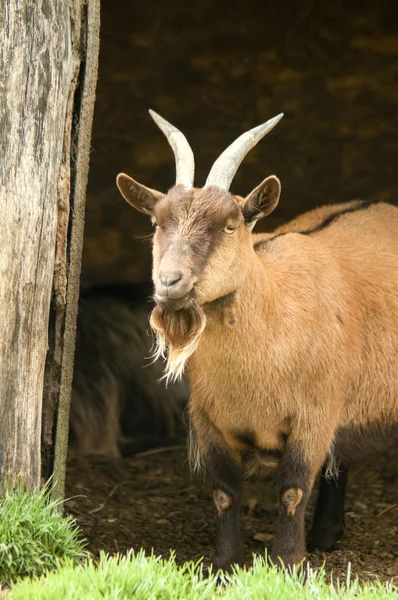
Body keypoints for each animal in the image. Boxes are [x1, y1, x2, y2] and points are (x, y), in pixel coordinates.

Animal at [116, 111, 398, 572]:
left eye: (230, 226)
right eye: (156, 223)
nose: (169, 283)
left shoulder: (314, 416)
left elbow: (292, 489)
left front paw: (288, 563)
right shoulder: (210, 421)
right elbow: (225, 494)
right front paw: (223, 565)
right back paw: (325, 536)